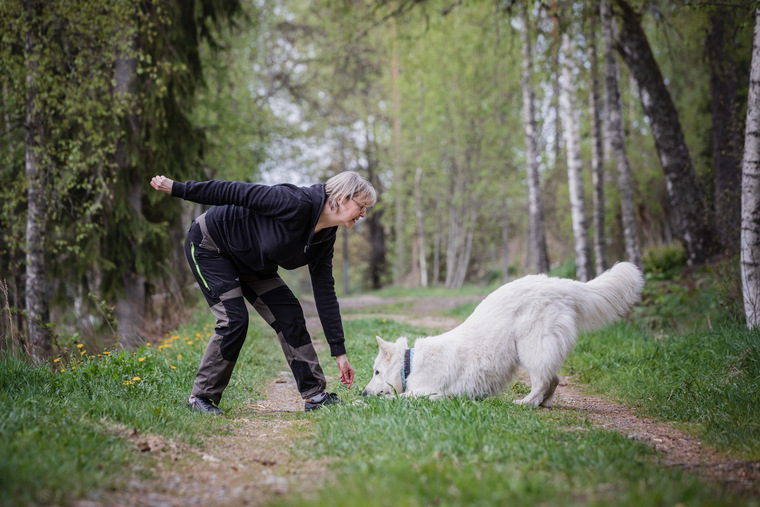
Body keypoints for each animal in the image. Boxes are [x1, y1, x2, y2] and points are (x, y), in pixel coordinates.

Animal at [360, 262, 640, 408]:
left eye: (376, 372)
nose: (362, 392)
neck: (410, 365)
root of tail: (556, 283)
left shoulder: (428, 394)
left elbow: (392, 399)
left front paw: (359, 404)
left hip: (529, 347)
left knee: (543, 380)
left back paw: (525, 403)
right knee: (554, 379)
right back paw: (541, 403)